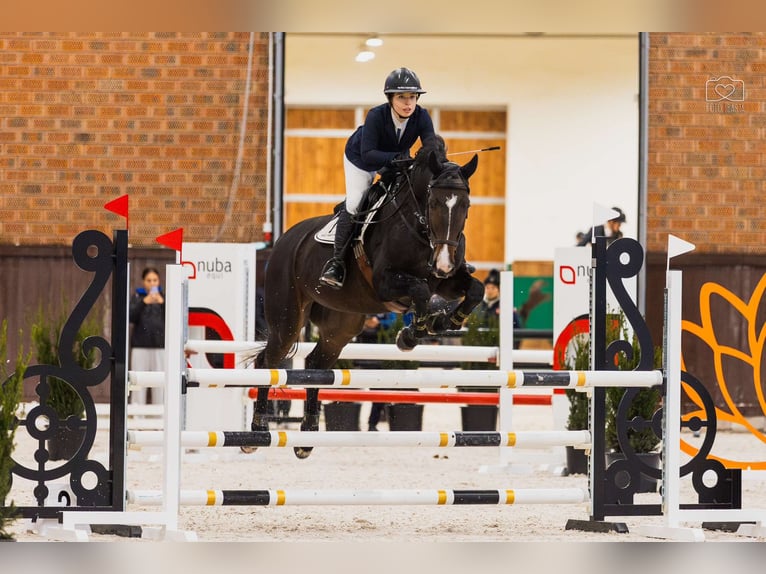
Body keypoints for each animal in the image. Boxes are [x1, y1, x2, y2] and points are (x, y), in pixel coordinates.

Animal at [254, 136, 486, 460]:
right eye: (435, 203)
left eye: (466, 204)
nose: (443, 262)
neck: (421, 231)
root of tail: (284, 239)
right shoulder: (386, 284)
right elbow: (420, 291)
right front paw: (412, 334)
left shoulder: (447, 281)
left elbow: (474, 289)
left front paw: (444, 322)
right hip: (287, 319)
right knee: (268, 360)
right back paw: (257, 430)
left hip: (342, 325)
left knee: (315, 363)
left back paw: (306, 436)